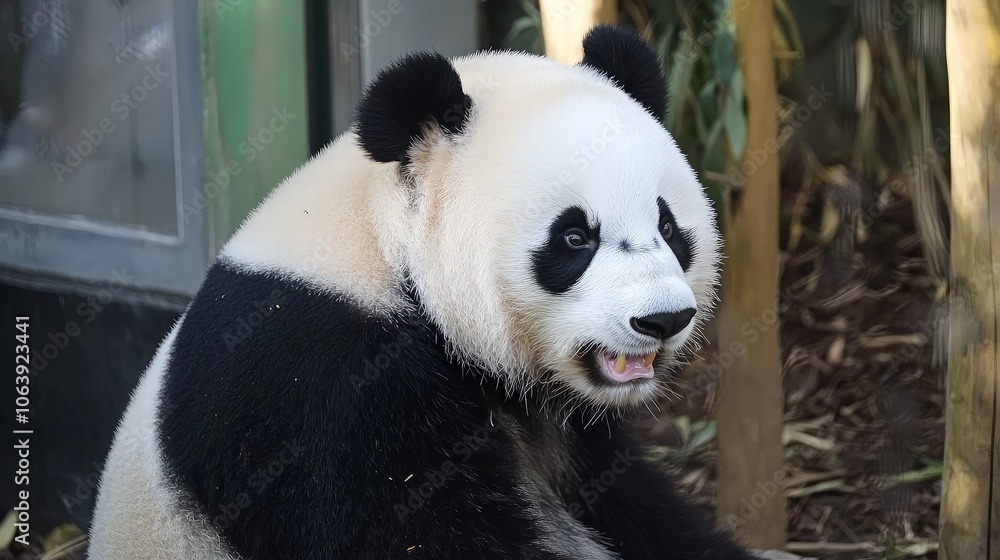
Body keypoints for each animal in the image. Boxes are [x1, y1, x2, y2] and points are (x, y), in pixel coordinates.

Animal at [90, 25, 759, 560]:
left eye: (669, 228)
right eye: (574, 237)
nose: (663, 319)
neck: (382, 250)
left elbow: (630, 506)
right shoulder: (312, 388)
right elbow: (420, 534)